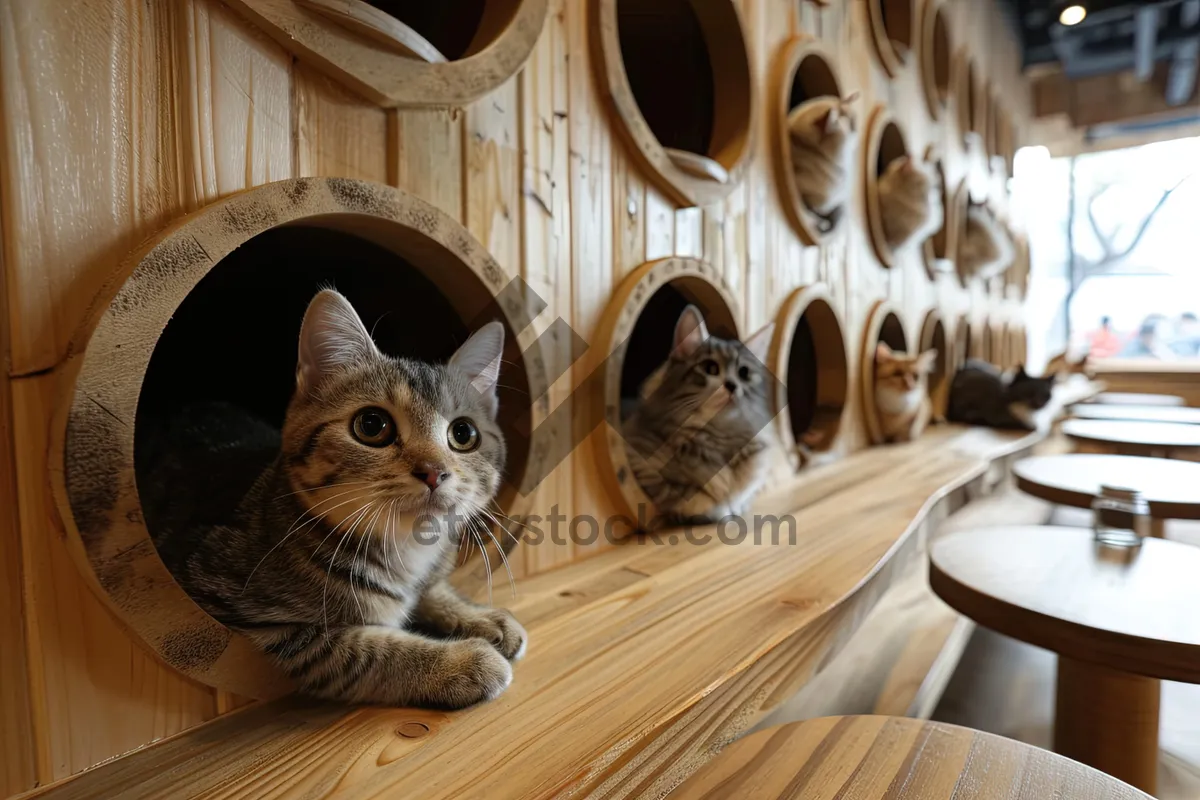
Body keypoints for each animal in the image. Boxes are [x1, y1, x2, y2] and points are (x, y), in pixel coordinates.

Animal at [138, 291, 523, 710]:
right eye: (372, 425)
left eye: (464, 434)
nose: (434, 471)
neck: (403, 549)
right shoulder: (259, 621)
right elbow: (365, 652)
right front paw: (462, 661)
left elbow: (430, 590)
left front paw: (478, 615)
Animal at [619, 304, 777, 525]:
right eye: (711, 368)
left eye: (743, 373)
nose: (732, 385)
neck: (717, 437)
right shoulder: (640, 465)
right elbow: (691, 495)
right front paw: (720, 507)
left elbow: (741, 492)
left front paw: (734, 504)